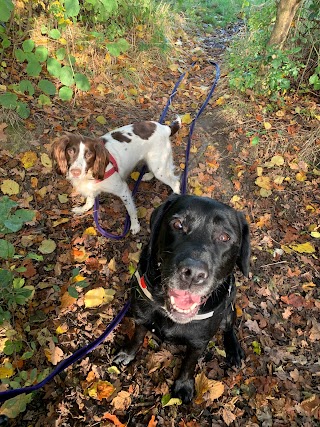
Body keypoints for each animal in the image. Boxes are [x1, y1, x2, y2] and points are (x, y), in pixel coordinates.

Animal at [114, 196, 250, 402]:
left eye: (225, 237)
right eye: (177, 224)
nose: (193, 273)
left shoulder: (198, 342)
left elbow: (189, 364)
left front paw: (183, 385)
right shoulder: (141, 318)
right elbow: (137, 337)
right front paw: (127, 353)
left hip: (228, 309)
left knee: (229, 328)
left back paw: (233, 349)